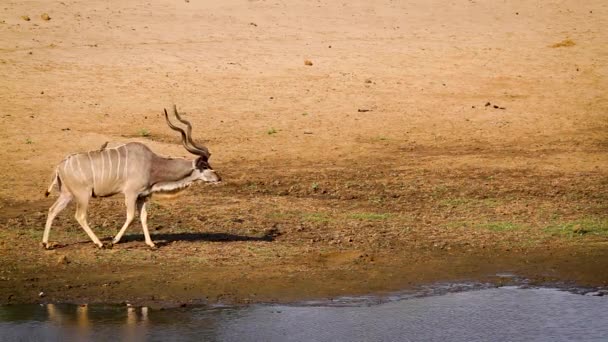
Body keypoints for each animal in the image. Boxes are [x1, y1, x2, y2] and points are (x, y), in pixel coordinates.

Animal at [42, 105, 220, 247]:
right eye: (205, 166)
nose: (219, 178)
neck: (151, 163)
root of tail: (60, 166)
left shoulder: (143, 196)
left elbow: (144, 217)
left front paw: (151, 244)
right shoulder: (130, 194)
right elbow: (130, 216)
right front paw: (114, 241)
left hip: (67, 194)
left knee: (52, 210)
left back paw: (46, 244)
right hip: (83, 195)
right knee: (80, 216)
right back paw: (100, 244)